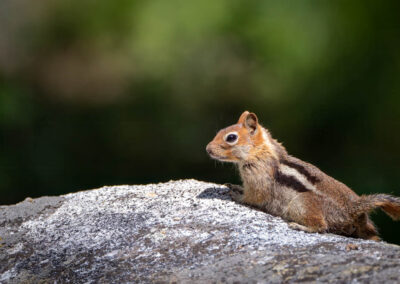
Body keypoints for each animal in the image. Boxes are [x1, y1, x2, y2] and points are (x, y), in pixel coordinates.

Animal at [206, 111, 400, 240]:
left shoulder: (258, 178)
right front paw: (235, 186)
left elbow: (254, 197)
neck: (259, 151)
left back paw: (300, 226)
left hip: (301, 203)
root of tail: (353, 208)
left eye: (231, 138)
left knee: (321, 226)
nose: (207, 149)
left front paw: (236, 194)